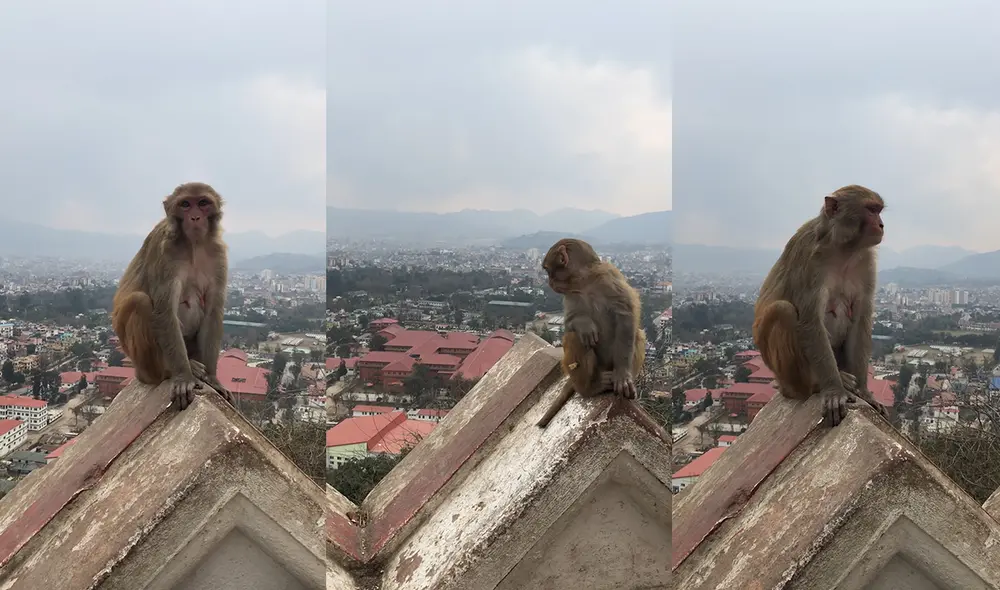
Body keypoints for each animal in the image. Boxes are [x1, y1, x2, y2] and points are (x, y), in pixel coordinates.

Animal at [111, 182, 235, 410]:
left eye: (202, 203)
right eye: (185, 204)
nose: (194, 217)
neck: (194, 245)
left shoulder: (219, 255)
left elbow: (212, 312)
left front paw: (213, 379)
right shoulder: (165, 251)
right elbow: (164, 310)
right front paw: (184, 377)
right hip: (141, 362)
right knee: (140, 302)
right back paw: (173, 370)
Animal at [536, 238, 647, 428]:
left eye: (548, 270)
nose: (549, 283)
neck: (584, 281)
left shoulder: (609, 277)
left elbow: (625, 316)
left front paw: (623, 375)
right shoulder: (571, 294)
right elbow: (570, 322)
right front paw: (584, 325)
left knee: (637, 335)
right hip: (595, 368)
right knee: (575, 338)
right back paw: (590, 387)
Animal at [753, 184, 890, 427]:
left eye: (879, 210)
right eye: (871, 210)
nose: (881, 225)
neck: (844, 248)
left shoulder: (866, 263)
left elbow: (860, 321)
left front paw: (865, 393)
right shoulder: (809, 258)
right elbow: (810, 321)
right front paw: (834, 391)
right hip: (784, 375)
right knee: (783, 311)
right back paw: (818, 384)